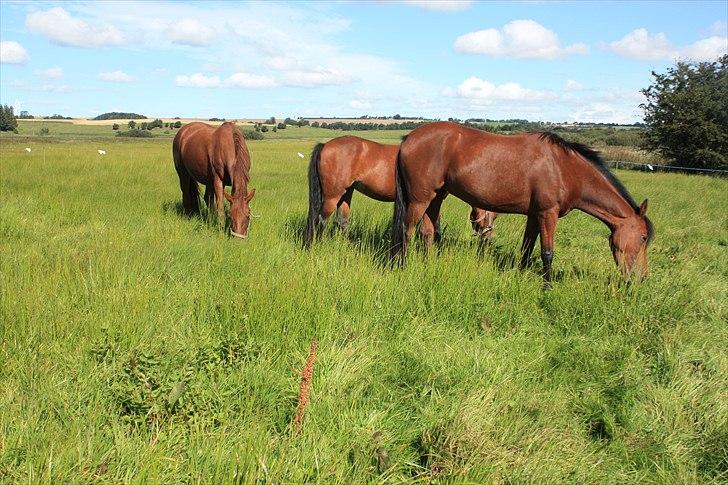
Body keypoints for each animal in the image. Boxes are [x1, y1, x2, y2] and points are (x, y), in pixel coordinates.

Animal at [302, 136, 494, 248]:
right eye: (492, 214)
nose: (489, 238)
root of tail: (325, 145)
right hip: (332, 196)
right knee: (320, 220)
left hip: (346, 193)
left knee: (341, 222)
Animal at [392, 121, 656, 280]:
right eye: (643, 237)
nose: (642, 277)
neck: (565, 169)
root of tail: (408, 138)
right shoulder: (548, 214)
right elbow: (547, 252)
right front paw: (547, 288)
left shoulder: (534, 215)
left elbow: (527, 248)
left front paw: (520, 276)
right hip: (419, 199)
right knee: (406, 230)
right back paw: (402, 267)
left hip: (436, 197)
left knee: (427, 232)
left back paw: (429, 266)